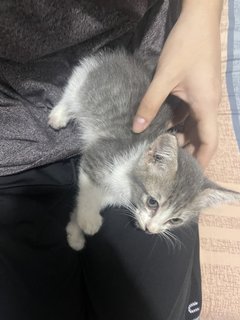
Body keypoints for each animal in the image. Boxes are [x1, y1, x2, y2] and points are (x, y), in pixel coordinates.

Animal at [48, 49, 240, 250]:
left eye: (175, 220)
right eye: (152, 202)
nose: (151, 230)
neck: (127, 182)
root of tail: (124, 58)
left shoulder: (111, 194)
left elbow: (87, 199)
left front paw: (75, 231)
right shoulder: (99, 156)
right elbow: (87, 191)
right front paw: (88, 220)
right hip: (83, 79)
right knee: (70, 94)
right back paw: (59, 115)